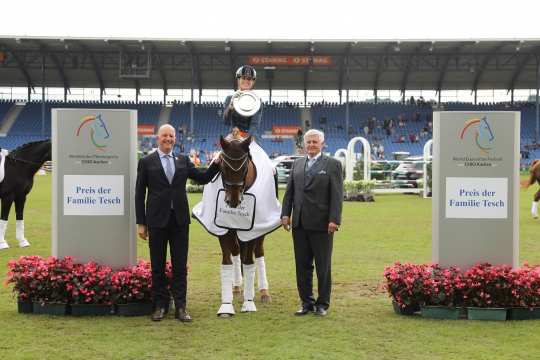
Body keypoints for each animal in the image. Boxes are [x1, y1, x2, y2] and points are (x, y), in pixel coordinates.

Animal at [216, 135, 270, 318]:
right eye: (222, 166)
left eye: (245, 167)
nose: (233, 201)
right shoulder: (224, 231)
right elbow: (227, 260)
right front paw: (226, 305)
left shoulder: (253, 230)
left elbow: (249, 261)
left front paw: (249, 302)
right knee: (236, 251)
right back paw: (237, 286)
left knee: (258, 253)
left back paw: (263, 291)